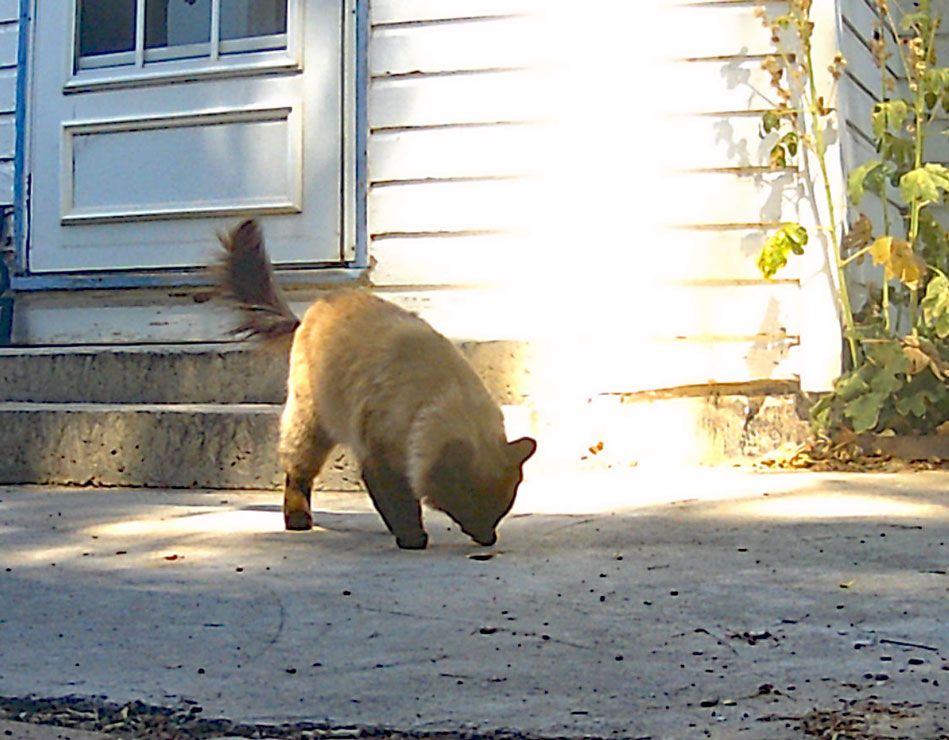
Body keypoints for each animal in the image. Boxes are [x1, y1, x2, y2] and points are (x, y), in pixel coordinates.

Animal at [214, 219, 536, 548]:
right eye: (473, 505)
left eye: (501, 509)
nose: (488, 538)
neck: (439, 396)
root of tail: (310, 313)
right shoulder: (381, 460)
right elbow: (400, 504)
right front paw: (412, 538)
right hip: (312, 425)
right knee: (297, 473)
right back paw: (298, 521)